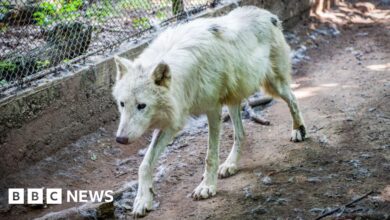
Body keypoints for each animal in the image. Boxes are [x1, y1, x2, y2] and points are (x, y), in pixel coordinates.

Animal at [111, 6, 306, 216]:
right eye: (122, 104)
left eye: (142, 106)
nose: (120, 139)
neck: (185, 76)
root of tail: (268, 14)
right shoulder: (174, 119)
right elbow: (144, 164)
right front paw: (142, 200)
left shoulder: (212, 108)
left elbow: (210, 156)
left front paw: (207, 187)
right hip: (233, 100)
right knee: (241, 133)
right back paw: (230, 165)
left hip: (273, 85)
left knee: (293, 99)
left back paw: (298, 130)